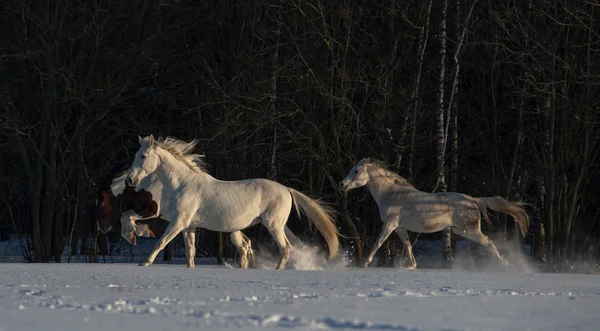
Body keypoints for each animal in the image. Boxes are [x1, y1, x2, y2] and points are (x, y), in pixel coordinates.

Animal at [124, 135, 340, 270]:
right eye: (134, 155)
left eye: (143, 156)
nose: (129, 180)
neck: (183, 184)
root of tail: (287, 189)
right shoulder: (189, 226)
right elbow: (190, 252)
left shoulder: (178, 222)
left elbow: (160, 242)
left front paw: (144, 261)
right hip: (277, 225)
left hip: (273, 225)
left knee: (285, 248)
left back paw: (277, 270)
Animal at [340, 158, 528, 270]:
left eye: (356, 171)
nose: (342, 184)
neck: (392, 195)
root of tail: (474, 200)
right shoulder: (399, 228)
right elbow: (408, 245)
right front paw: (412, 266)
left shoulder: (390, 224)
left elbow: (378, 242)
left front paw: (365, 263)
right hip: (461, 231)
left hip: (469, 230)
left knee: (489, 243)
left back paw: (504, 264)